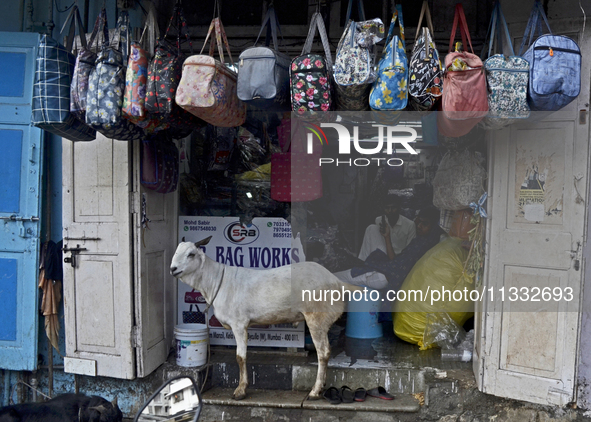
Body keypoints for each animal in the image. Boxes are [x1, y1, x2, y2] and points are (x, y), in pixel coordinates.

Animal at [169, 236, 358, 400]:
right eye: (176, 252)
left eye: (191, 254)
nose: (173, 269)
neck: (216, 282)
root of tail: (337, 281)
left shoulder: (239, 323)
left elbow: (240, 357)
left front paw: (240, 390)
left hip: (316, 317)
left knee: (323, 352)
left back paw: (315, 391)